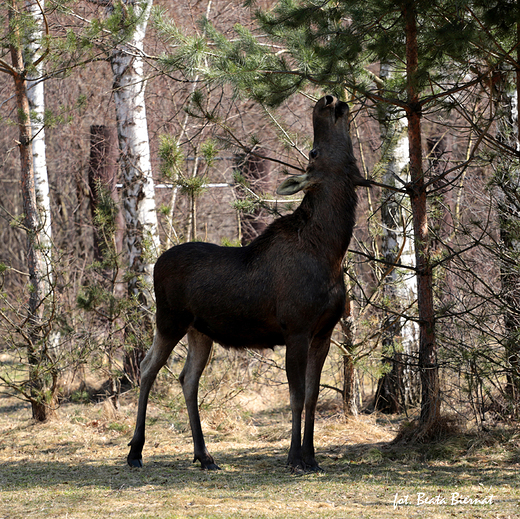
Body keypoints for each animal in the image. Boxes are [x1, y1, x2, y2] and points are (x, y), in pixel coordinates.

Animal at [127, 95, 370, 474]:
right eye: (313, 151)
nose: (328, 100)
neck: (331, 251)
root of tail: (156, 263)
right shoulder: (296, 328)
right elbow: (296, 395)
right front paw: (294, 457)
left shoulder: (324, 332)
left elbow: (313, 395)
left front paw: (312, 457)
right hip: (169, 320)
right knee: (148, 368)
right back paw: (136, 451)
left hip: (200, 331)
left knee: (187, 378)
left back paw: (204, 455)